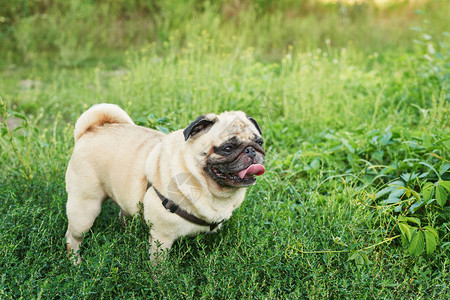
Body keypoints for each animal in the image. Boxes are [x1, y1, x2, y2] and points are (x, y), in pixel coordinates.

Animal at [65, 103, 266, 262]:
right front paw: (161, 281)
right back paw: (75, 263)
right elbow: (159, 266)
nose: (250, 150)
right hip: (84, 209)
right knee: (72, 237)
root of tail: (90, 130)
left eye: (260, 142)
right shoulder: (162, 238)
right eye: (227, 148)